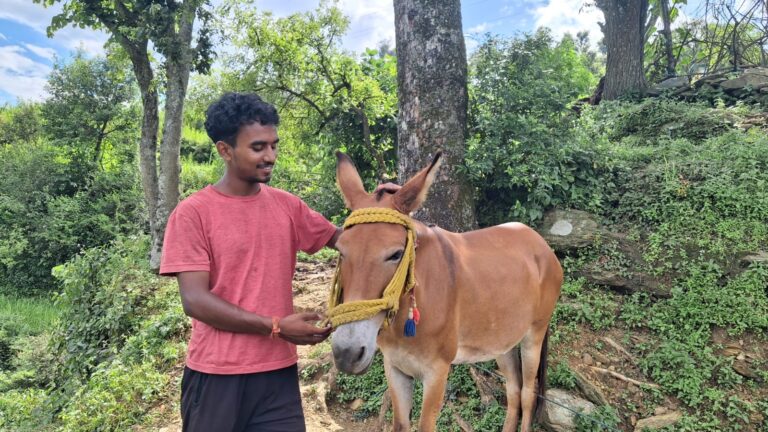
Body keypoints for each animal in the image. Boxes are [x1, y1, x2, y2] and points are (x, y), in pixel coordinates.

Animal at [327, 151, 562, 432]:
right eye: (341, 251)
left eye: (396, 254)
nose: (347, 353)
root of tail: (541, 243)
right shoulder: (395, 367)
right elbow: (400, 425)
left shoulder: (436, 373)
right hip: (503, 341)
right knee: (513, 389)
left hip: (533, 335)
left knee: (528, 393)